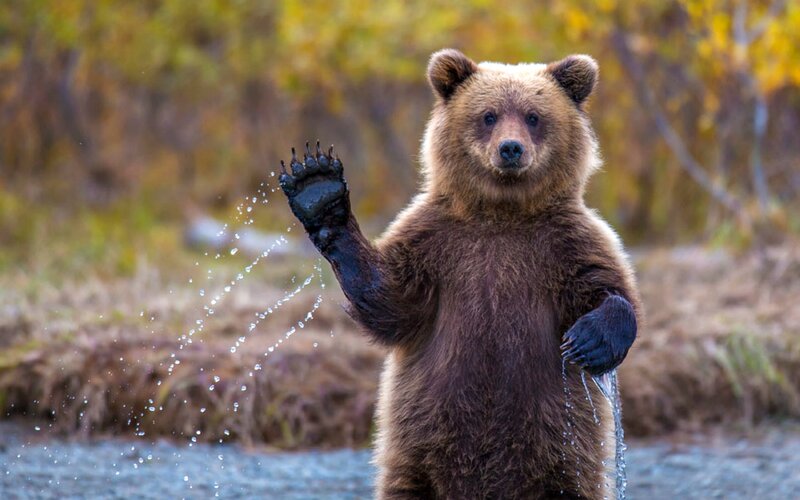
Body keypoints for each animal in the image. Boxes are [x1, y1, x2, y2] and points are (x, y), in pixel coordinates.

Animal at [279, 49, 641, 499]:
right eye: (488, 115)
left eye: (533, 116)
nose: (510, 149)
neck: (502, 212)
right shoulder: (437, 243)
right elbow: (390, 300)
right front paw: (318, 188)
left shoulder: (566, 243)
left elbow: (608, 287)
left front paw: (589, 341)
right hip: (417, 450)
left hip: (562, 453)